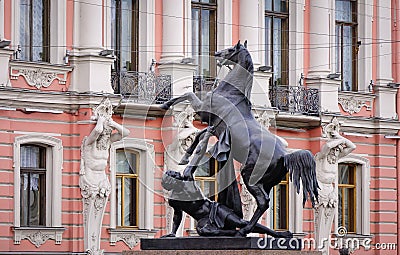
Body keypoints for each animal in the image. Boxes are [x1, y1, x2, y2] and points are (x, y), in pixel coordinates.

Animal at [159, 40, 318, 236]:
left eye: (230, 49)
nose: (217, 53)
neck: (231, 93)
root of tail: (285, 156)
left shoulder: (205, 112)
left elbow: (188, 95)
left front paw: (165, 104)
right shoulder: (214, 127)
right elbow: (199, 135)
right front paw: (185, 156)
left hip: (249, 175)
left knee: (263, 202)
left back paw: (243, 231)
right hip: (266, 182)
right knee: (264, 202)